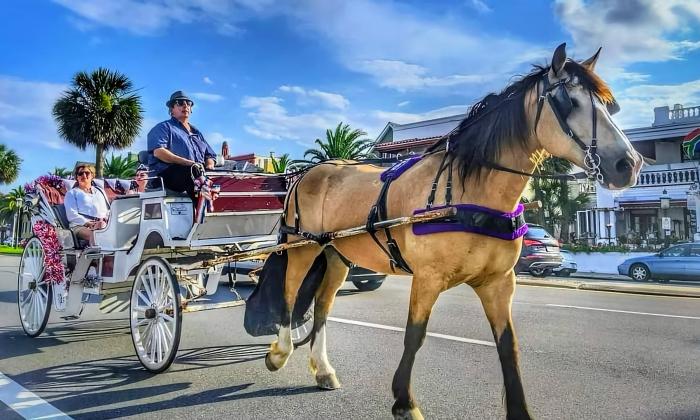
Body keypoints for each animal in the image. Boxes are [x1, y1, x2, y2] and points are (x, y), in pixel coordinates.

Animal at [261, 43, 642, 419]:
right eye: (569, 102)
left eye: (609, 106)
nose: (630, 164)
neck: (469, 191)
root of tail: (307, 173)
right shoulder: (427, 278)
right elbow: (414, 336)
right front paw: (404, 402)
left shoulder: (499, 282)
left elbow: (508, 345)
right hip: (303, 247)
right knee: (290, 294)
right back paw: (279, 352)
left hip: (337, 254)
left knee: (323, 305)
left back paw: (323, 369)